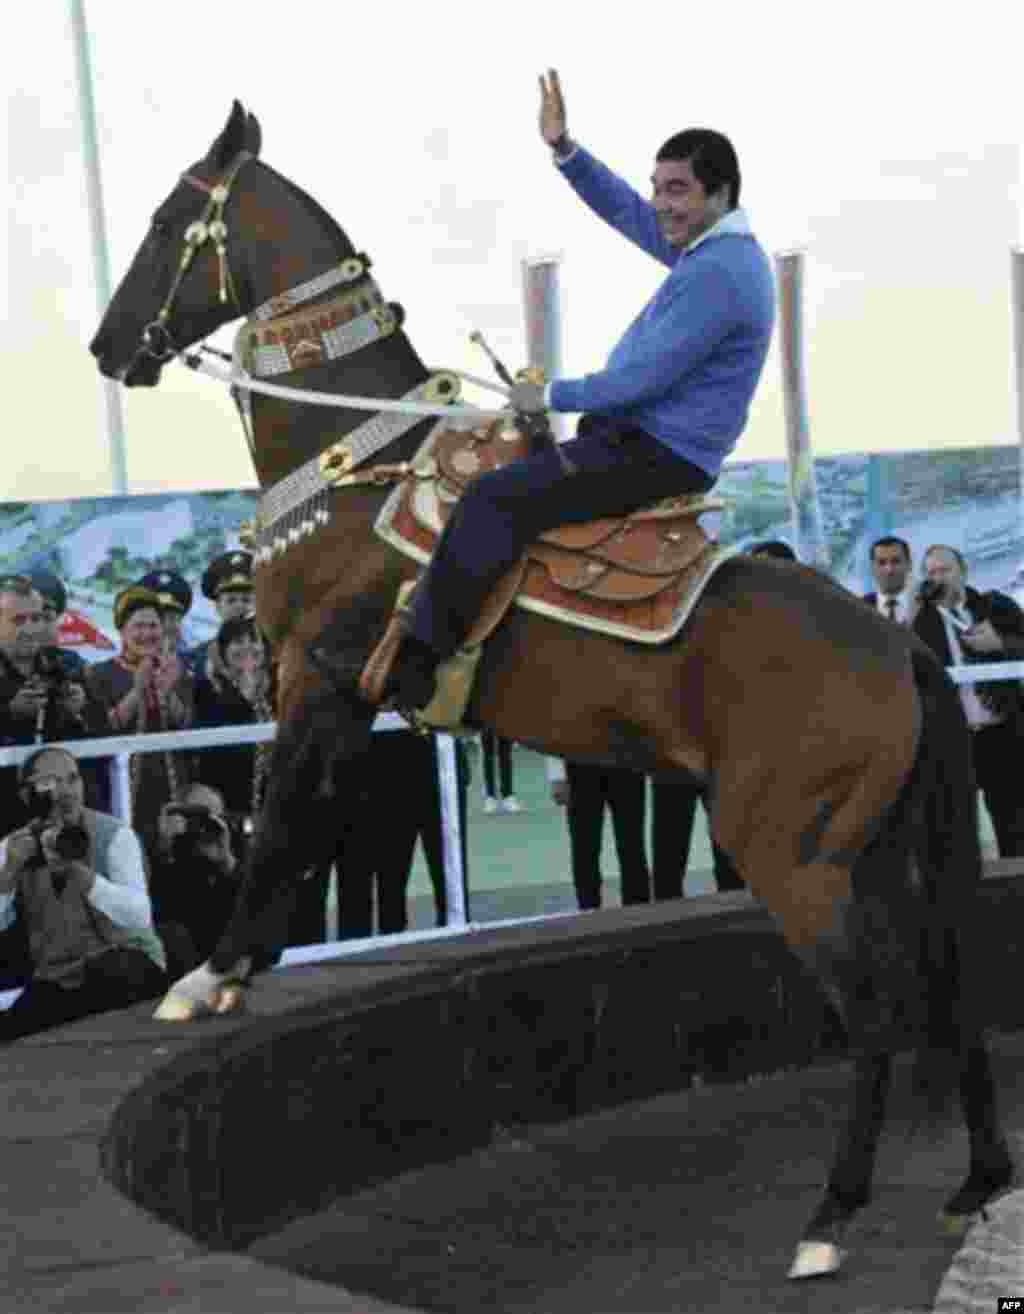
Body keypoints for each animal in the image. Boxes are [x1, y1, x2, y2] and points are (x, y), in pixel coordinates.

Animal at [90, 105, 1014, 1282]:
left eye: (168, 222)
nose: (107, 347)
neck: (357, 465)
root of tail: (901, 651)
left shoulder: (319, 682)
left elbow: (282, 821)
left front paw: (206, 975)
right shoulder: (344, 704)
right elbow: (305, 826)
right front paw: (241, 966)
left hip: (794, 853)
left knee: (877, 1010)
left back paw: (829, 1218)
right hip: (887, 848)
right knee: (947, 985)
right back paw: (978, 1176)